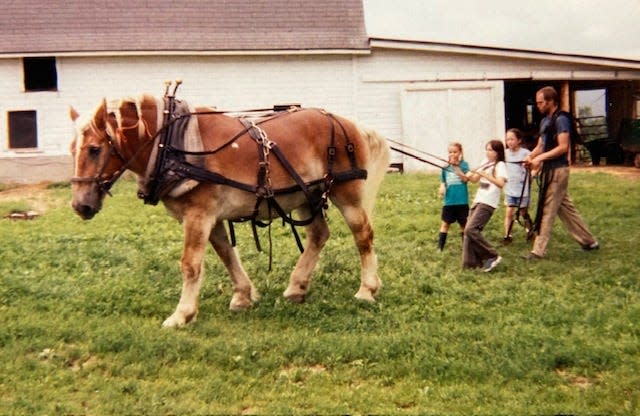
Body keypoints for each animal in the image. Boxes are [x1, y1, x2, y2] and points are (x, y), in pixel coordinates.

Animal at [70, 92, 390, 328]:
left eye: (95, 149)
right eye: (72, 149)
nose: (80, 205)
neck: (174, 143)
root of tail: (348, 123)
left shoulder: (198, 215)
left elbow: (190, 264)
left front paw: (182, 314)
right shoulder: (211, 217)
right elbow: (226, 254)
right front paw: (243, 296)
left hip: (346, 194)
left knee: (363, 235)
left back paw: (367, 289)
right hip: (307, 196)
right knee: (319, 234)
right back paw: (296, 287)